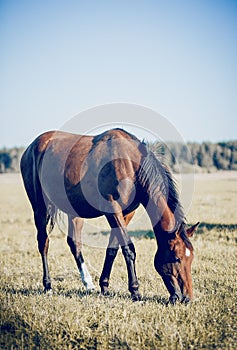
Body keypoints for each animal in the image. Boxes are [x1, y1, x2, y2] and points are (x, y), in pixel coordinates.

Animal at [20, 128, 199, 304]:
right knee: (43, 243)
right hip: (40, 208)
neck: (130, 165)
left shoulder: (127, 213)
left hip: (75, 213)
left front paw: (104, 287)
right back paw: (48, 286)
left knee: (74, 244)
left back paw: (88, 284)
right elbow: (128, 249)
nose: (187, 297)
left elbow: (112, 249)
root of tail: (31, 148)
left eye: (191, 257)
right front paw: (135, 291)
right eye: (177, 258)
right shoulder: (112, 209)